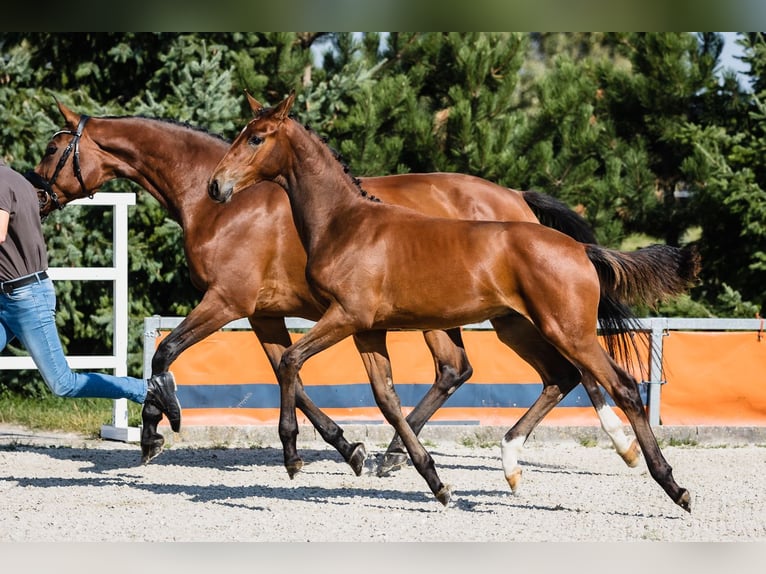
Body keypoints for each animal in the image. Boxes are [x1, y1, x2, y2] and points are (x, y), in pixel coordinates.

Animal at [31, 102, 640, 476]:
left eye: (54, 149)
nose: (35, 194)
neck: (221, 204)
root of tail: (515, 199)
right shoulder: (264, 314)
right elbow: (290, 376)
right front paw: (347, 448)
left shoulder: (226, 303)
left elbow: (167, 352)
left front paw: (157, 430)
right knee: (462, 371)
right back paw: (396, 453)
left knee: (523, 370)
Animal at [208, 93, 704, 512]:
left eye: (256, 137)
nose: (216, 186)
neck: (345, 223)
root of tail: (581, 249)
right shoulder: (367, 328)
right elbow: (386, 398)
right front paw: (434, 481)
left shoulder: (345, 316)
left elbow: (290, 360)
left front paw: (293, 456)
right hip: (518, 326)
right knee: (561, 377)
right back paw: (511, 464)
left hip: (569, 330)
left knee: (622, 386)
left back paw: (673, 486)